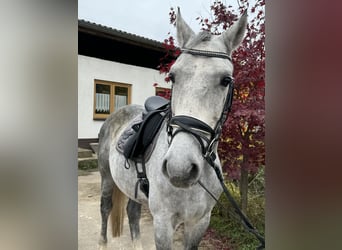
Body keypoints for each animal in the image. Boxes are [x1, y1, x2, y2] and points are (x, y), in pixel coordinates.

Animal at [97, 7, 247, 250]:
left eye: (226, 80)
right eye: (173, 76)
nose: (180, 168)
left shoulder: (200, 221)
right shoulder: (163, 223)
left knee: (132, 211)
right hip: (106, 177)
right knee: (106, 208)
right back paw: (102, 243)